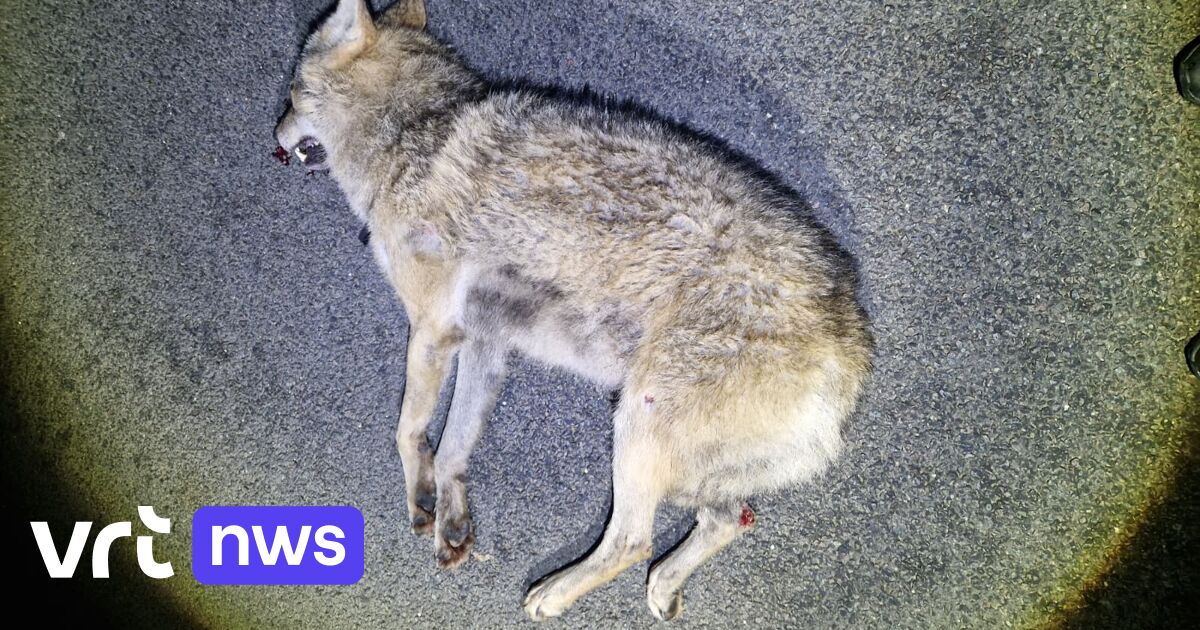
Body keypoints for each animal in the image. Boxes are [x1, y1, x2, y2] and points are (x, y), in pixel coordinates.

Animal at [275, 0, 872, 620]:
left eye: (291, 93)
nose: (273, 133)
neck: (417, 131)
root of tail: (851, 343)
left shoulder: (433, 330)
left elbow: (409, 428)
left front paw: (421, 498)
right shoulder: (484, 344)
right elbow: (452, 448)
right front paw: (449, 522)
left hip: (637, 422)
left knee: (634, 541)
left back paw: (553, 595)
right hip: (678, 455)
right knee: (728, 521)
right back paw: (664, 585)